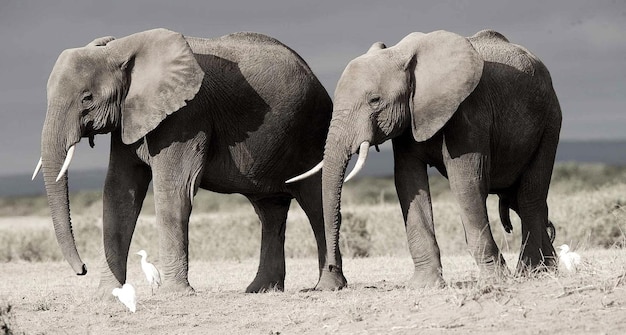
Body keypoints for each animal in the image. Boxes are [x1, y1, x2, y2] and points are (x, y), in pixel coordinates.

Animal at [34, 29, 334, 296]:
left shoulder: (187, 115)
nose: (82, 269)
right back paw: (261, 290)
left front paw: (175, 294)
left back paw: (326, 287)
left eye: (87, 98)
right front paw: (109, 295)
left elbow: (174, 189)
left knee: (316, 202)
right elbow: (119, 191)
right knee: (269, 211)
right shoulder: (131, 115)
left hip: (313, 132)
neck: (121, 48)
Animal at [288, 29, 560, 292]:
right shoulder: (409, 119)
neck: (403, 54)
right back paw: (548, 269)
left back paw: (531, 272)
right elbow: (409, 182)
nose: (331, 272)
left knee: (530, 196)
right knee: (523, 199)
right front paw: (424, 285)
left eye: (375, 100)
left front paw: (494, 280)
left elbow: (467, 182)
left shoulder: (467, 111)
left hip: (550, 121)